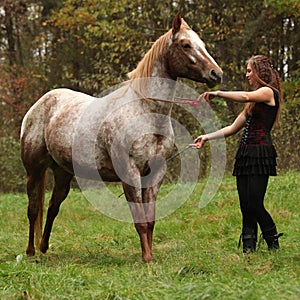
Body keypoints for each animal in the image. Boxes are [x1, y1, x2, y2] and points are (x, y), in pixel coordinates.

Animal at [20, 12, 223, 262]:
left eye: (202, 43)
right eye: (185, 45)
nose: (216, 74)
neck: (145, 112)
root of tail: (41, 104)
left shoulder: (155, 173)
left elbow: (150, 219)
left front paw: (150, 256)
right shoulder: (130, 174)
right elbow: (140, 221)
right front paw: (146, 259)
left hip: (62, 173)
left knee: (51, 208)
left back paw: (43, 247)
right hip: (34, 170)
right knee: (33, 210)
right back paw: (30, 252)